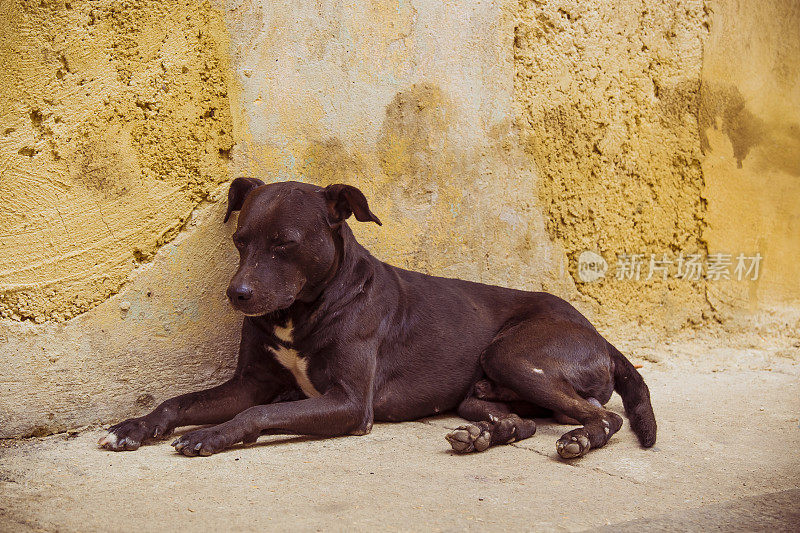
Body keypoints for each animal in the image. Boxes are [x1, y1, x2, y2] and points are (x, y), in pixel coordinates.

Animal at [98, 179, 656, 458]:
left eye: (285, 244)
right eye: (240, 241)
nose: (238, 295)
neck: (305, 310)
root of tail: (598, 336)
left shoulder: (347, 402)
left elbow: (255, 414)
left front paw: (211, 436)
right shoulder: (250, 382)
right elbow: (179, 401)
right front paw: (134, 427)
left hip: (514, 354)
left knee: (603, 416)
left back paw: (580, 439)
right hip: (479, 392)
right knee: (517, 423)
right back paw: (482, 436)